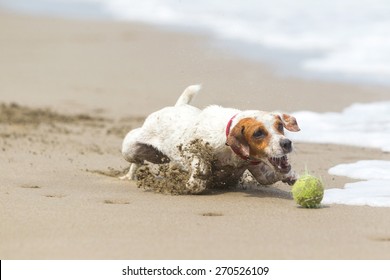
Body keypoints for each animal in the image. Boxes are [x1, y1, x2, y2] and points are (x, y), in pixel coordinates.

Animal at [123, 85, 300, 194]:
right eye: (258, 133)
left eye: (280, 125)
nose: (286, 143)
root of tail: (177, 106)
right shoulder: (190, 148)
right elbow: (201, 168)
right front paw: (191, 184)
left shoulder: (258, 170)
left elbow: (271, 176)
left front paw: (290, 176)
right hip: (131, 148)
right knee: (135, 161)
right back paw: (128, 176)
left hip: (158, 157)